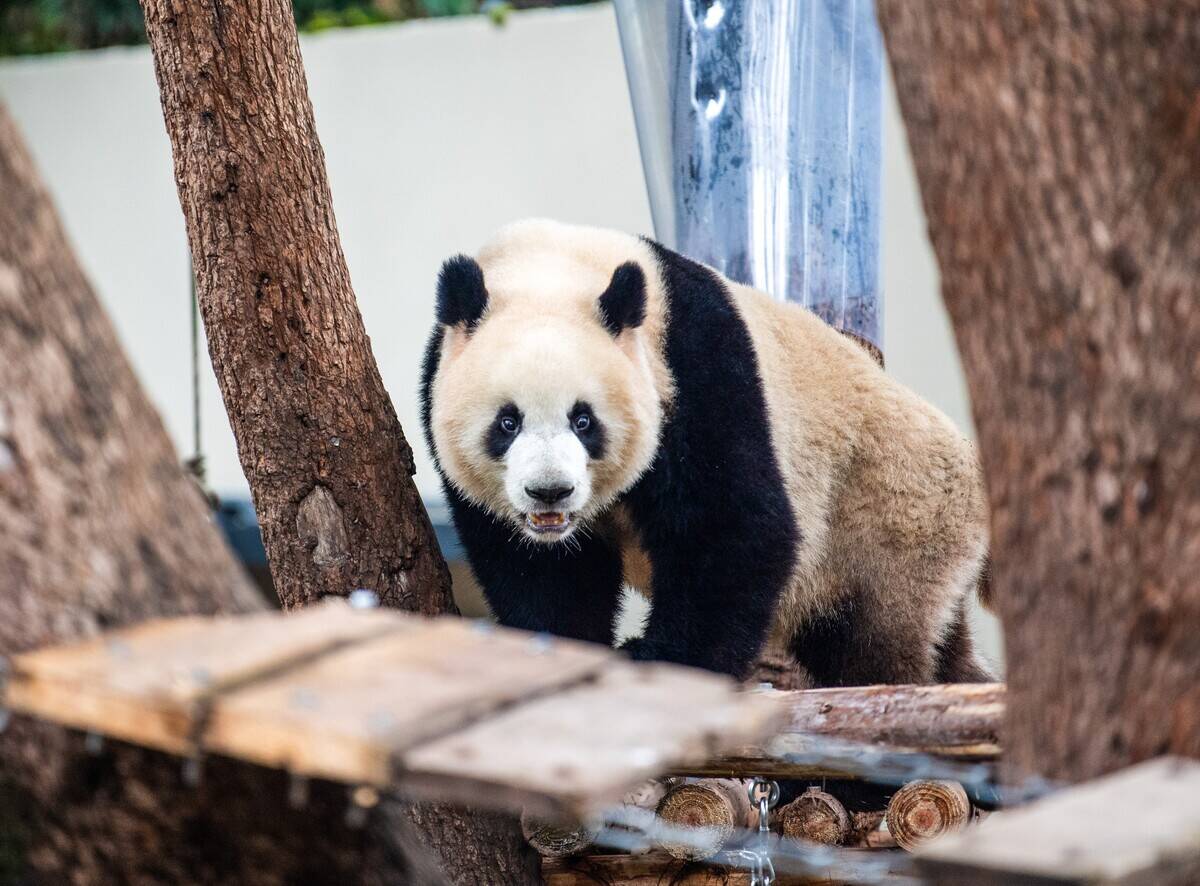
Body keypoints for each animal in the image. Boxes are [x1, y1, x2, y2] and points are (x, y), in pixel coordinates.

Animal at [421, 218, 993, 685]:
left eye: (583, 421)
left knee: (870, 637)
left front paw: (661, 659)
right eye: (507, 422)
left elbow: (733, 526)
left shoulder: (695, 366)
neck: (552, 267)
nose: (550, 493)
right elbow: (539, 569)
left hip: (884, 515)